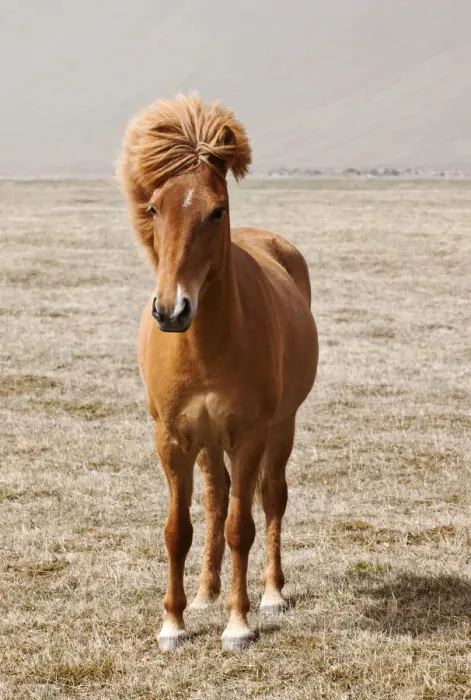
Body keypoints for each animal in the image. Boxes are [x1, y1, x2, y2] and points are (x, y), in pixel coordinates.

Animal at [117, 93, 318, 651]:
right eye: (154, 208)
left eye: (216, 210)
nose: (171, 310)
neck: (205, 348)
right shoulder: (171, 438)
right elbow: (177, 530)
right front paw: (174, 622)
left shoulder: (249, 435)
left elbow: (240, 528)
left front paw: (239, 623)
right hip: (206, 440)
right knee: (214, 499)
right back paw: (206, 591)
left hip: (281, 427)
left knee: (271, 499)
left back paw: (270, 593)